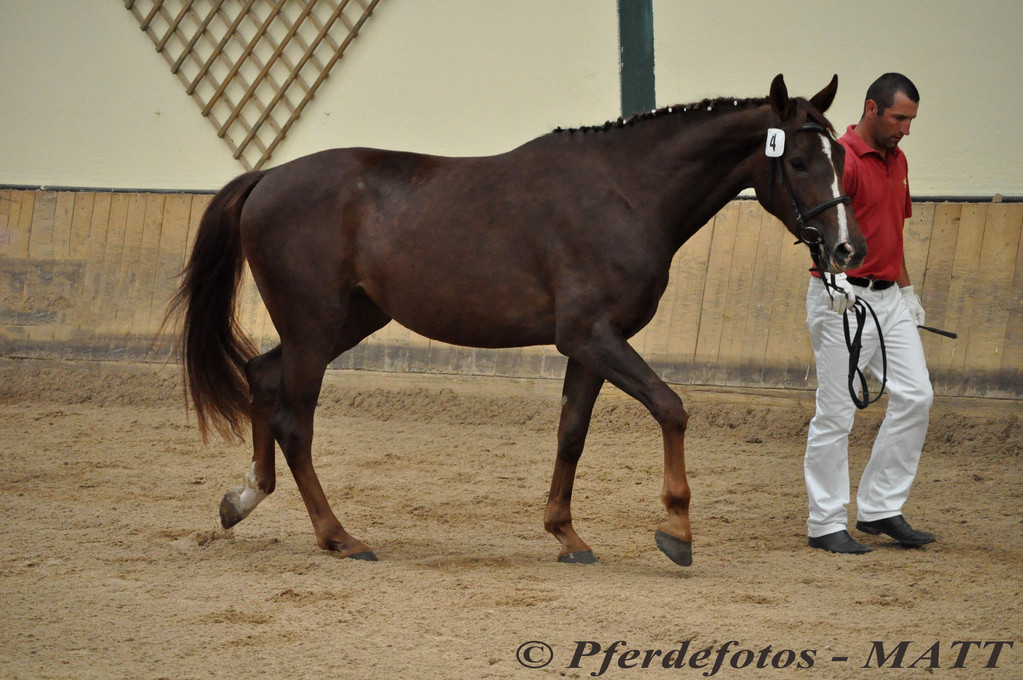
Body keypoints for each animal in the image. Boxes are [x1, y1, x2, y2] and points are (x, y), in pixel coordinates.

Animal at [167, 74, 863, 564]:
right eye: (799, 162)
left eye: (841, 158)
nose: (846, 251)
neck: (625, 191)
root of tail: (267, 178)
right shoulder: (592, 336)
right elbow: (671, 407)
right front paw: (676, 529)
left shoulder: (590, 346)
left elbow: (571, 434)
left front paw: (567, 535)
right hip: (314, 327)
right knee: (295, 422)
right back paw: (339, 537)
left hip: (343, 322)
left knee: (262, 377)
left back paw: (242, 501)